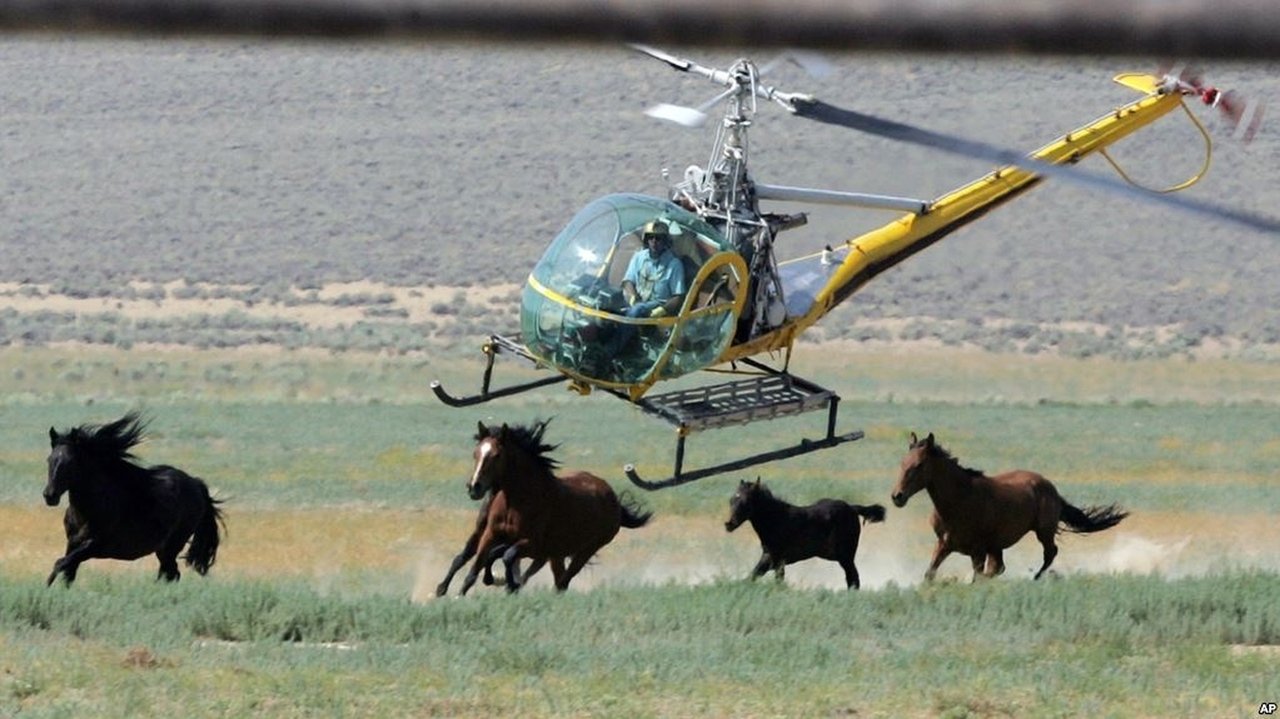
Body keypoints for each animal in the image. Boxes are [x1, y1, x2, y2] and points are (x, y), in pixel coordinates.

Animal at [43, 412, 225, 586]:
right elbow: (67, 574)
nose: (49, 496)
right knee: (170, 574)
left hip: (171, 546)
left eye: (70, 462)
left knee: (171, 573)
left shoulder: (94, 545)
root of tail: (196, 484)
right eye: (49, 459)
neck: (88, 510)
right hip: (164, 550)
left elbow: (59, 564)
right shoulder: (73, 543)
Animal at [460, 419, 652, 593]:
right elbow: (477, 567)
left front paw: (509, 583)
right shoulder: (491, 535)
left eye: (497, 455)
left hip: (586, 550)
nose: (474, 487)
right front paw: (466, 591)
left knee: (562, 582)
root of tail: (614, 499)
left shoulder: (532, 544)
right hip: (557, 553)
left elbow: (507, 556)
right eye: (475, 453)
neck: (515, 503)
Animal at [724, 477, 886, 589]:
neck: (777, 520)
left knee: (853, 578)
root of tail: (852, 508)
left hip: (845, 556)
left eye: (746, 501)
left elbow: (774, 579)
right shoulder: (770, 558)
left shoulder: (777, 559)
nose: (728, 524)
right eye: (732, 500)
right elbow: (753, 576)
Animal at [890, 432, 1128, 581]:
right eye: (902, 463)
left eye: (919, 465)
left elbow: (978, 577)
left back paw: (1035, 578)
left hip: (1043, 531)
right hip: (998, 546)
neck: (959, 500)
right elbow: (929, 574)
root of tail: (1051, 488)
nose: (897, 496)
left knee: (1050, 553)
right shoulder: (944, 544)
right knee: (1001, 567)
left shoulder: (978, 550)